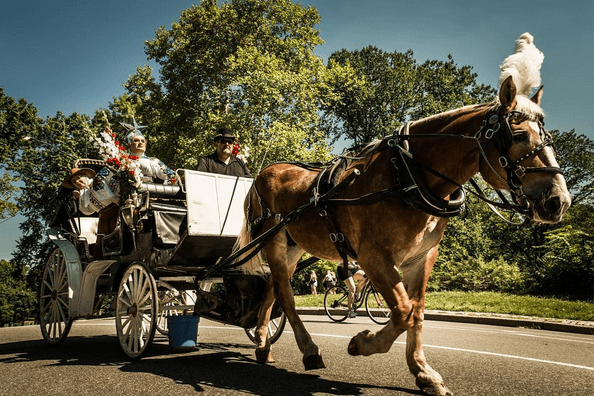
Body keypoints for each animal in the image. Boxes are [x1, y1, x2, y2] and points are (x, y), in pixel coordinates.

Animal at [232, 38, 568, 394]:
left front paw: (423, 371)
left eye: (549, 138)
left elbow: (416, 313)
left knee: (272, 288)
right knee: (285, 293)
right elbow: (404, 312)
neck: (407, 176)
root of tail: (264, 172)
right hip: (272, 240)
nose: (559, 200)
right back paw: (308, 349)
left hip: (293, 246)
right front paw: (363, 342)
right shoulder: (373, 256)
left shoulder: (422, 257)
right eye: (518, 136)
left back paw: (263, 342)